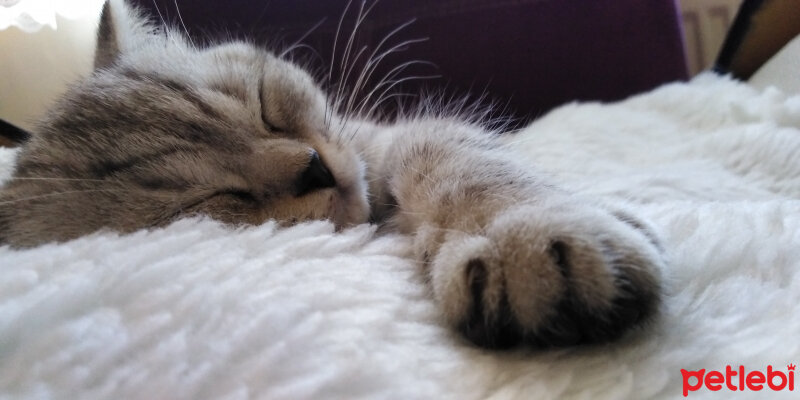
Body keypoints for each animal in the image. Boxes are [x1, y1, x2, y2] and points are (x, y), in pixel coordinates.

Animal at [0, 0, 664, 348]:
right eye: (218, 201)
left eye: (264, 104)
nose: (314, 168)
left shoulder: (380, 142)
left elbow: (459, 163)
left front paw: (522, 230)